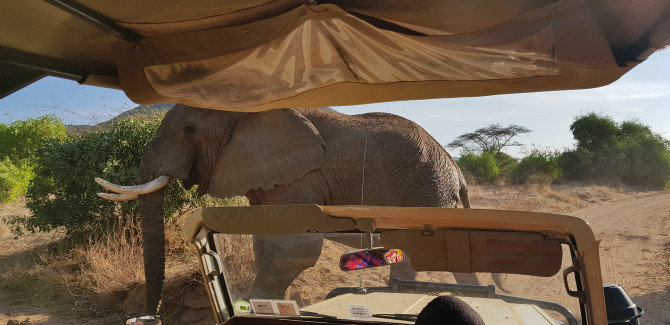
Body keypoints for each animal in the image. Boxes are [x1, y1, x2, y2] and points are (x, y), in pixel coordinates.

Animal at [96, 105, 472, 312]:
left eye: (190, 130)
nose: (150, 317)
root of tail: (457, 173)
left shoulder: (300, 179)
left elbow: (294, 249)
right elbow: (265, 241)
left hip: (425, 194)